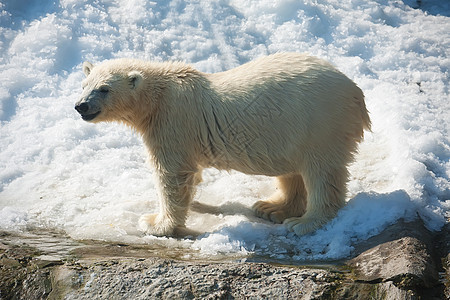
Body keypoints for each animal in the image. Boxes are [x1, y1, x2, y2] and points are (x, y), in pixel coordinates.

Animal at [74, 53, 370, 237]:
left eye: (104, 89)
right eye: (84, 84)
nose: (81, 106)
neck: (160, 95)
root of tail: (356, 93)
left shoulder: (172, 122)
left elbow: (173, 175)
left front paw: (156, 223)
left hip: (319, 124)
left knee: (322, 172)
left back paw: (304, 222)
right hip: (291, 132)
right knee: (293, 170)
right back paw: (272, 208)